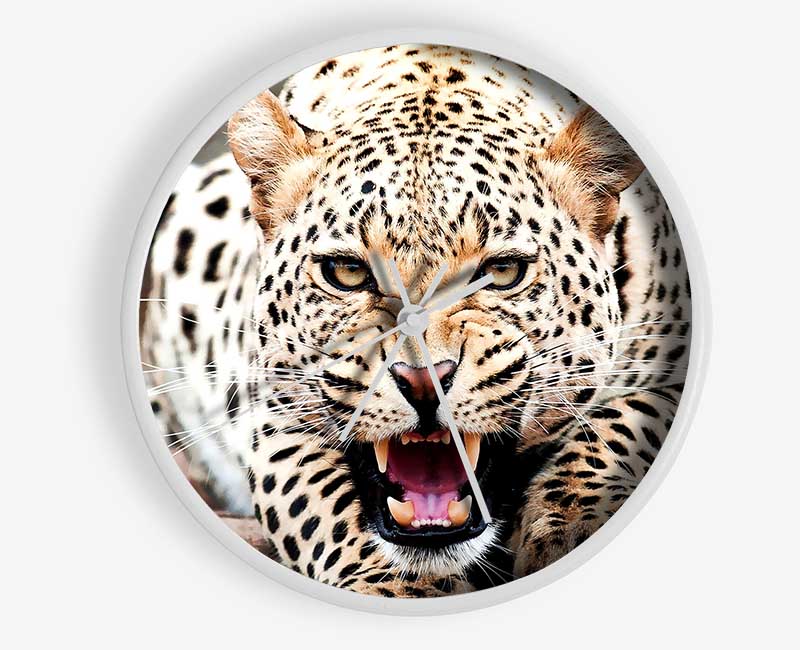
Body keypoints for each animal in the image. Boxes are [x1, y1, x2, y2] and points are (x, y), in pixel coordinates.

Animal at [141, 44, 691, 597]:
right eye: (347, 272)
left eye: (503, 272)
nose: (424, 381)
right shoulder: (276, 418)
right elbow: (327, 510)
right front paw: (398, 587)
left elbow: (619, 424)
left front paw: (570, 525)